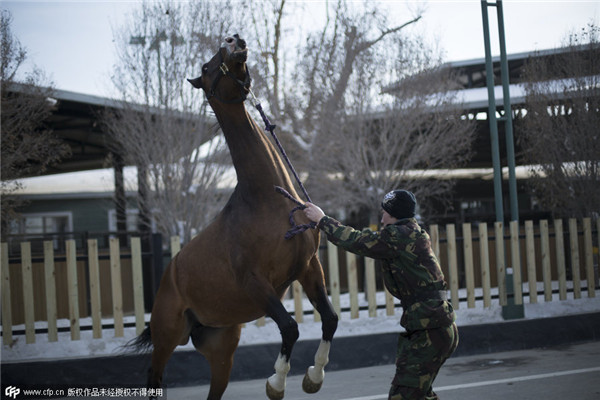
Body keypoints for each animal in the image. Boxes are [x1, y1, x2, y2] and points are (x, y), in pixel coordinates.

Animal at [134, 35, 338, 400]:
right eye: (205, 67)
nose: (233, 40)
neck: (266, 201)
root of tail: (170, 274)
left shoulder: (309, 267)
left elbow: (329, 319)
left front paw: (314, 377)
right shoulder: (255, 281)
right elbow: (290, 327)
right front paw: (276, 382)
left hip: (221, 352)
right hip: (166, 338)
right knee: (154, 377)